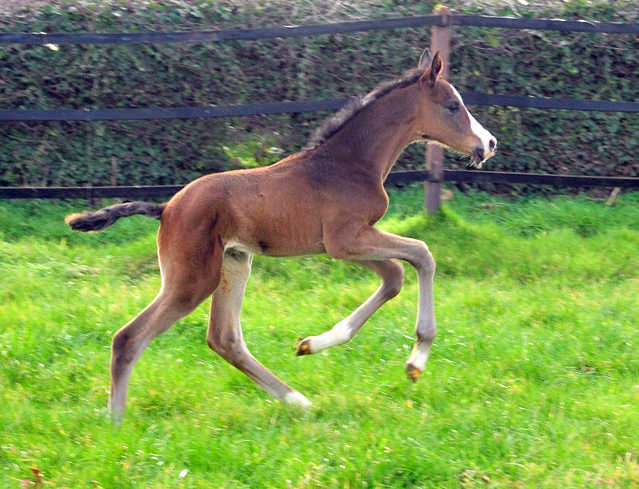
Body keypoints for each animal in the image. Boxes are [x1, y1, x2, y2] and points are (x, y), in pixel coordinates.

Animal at [69, 47, 500, 418]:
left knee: (224, 339)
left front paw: (311, 344)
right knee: (129, 338)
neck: (350, 162)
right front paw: (416, 360)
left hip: (234, 264)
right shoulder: (346, 240)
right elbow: (422, 254)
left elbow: (394, 276)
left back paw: (299, 402)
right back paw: (116, 426)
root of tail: (166, 209)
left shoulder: (345, 244)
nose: (489, 143)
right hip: (192, 279)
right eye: (453, 106)